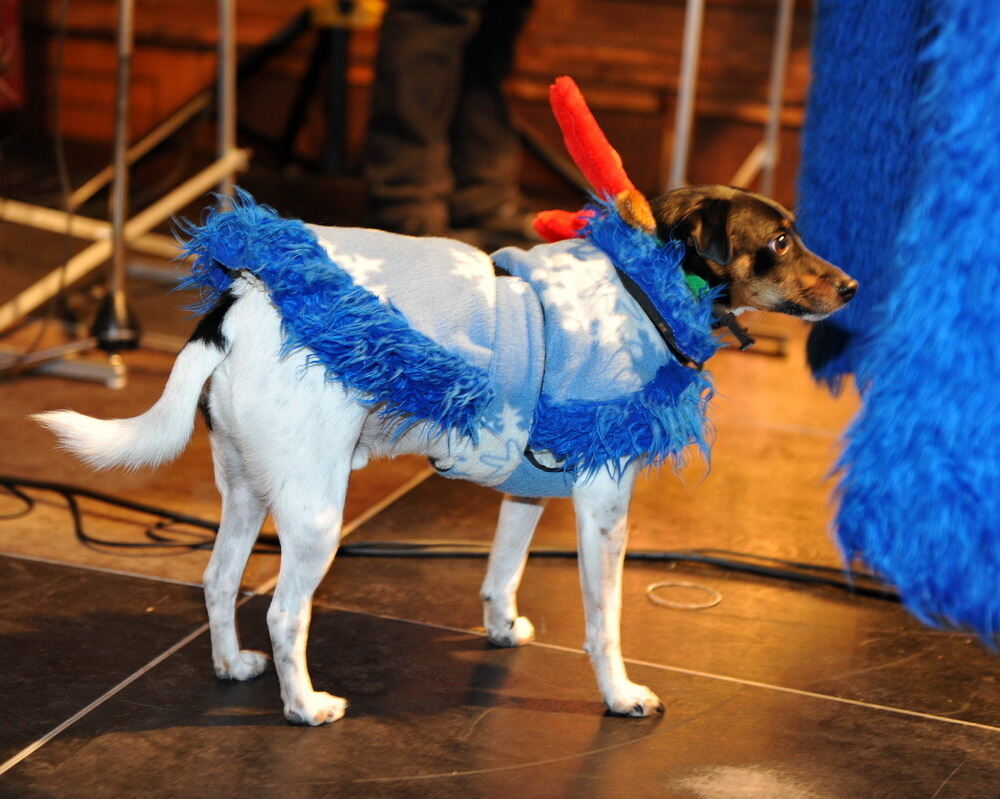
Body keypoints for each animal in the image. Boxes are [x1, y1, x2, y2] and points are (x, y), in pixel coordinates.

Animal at [35, 186, 856, 724]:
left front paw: (500, 624)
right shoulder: (604, 503)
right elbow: (605, 619)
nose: (852, 286)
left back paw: (231, 665)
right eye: (779, 241)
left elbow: (503, 569)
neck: (646, 287)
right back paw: (304, 706)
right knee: (285, 610)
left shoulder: (527, 487)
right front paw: (620, 694)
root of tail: (237, 305)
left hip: (246, 491)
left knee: (216, 581)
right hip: (315, 515)